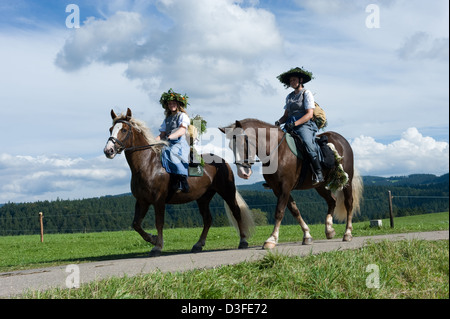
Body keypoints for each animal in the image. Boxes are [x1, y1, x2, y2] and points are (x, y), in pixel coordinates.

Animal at [103, 108, 255, 258]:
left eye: (123, 130)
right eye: (110, 129)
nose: (108, 150)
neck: (148, 165)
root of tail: (222, 161)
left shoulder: (158, 201)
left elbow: (159, 223)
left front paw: (157, 246)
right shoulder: (142, 201)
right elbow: (136, 224)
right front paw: (152, 239)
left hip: (227, 192)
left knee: (236, 212)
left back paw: (243, 241)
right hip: (203, 198)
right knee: (208, 219)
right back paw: (198, 244)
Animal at [220, 119, 364, 249]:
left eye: (243, 142)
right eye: (230, 146)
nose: (242, 172)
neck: (277, 151)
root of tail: (342, 140)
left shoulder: (285, 187)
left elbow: (279, 211)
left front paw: (271, 239)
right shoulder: (277, 189)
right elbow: (294, 210)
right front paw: (307, 235)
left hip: (347, 182)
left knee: (349, 203)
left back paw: (347, 233)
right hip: (320, 186)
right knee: (332, 200)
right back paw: (329, 230)